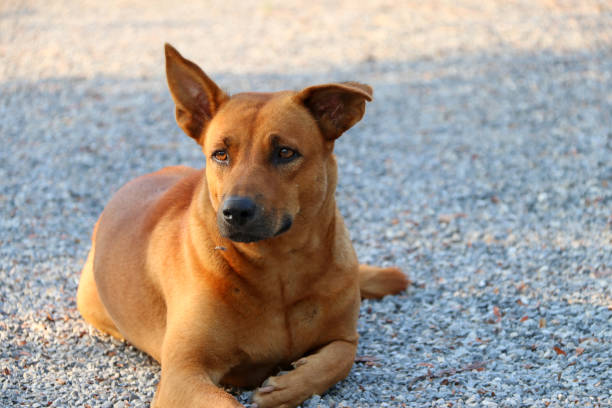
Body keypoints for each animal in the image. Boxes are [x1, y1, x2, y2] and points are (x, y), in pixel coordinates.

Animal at [77, 44, 412, 408]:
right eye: (220, 154)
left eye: (285, 152)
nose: (235, 211)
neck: (279, 269)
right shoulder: (183, 372)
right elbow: (227, 402)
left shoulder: (344, 338)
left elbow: (339, 360)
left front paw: (286, 386)